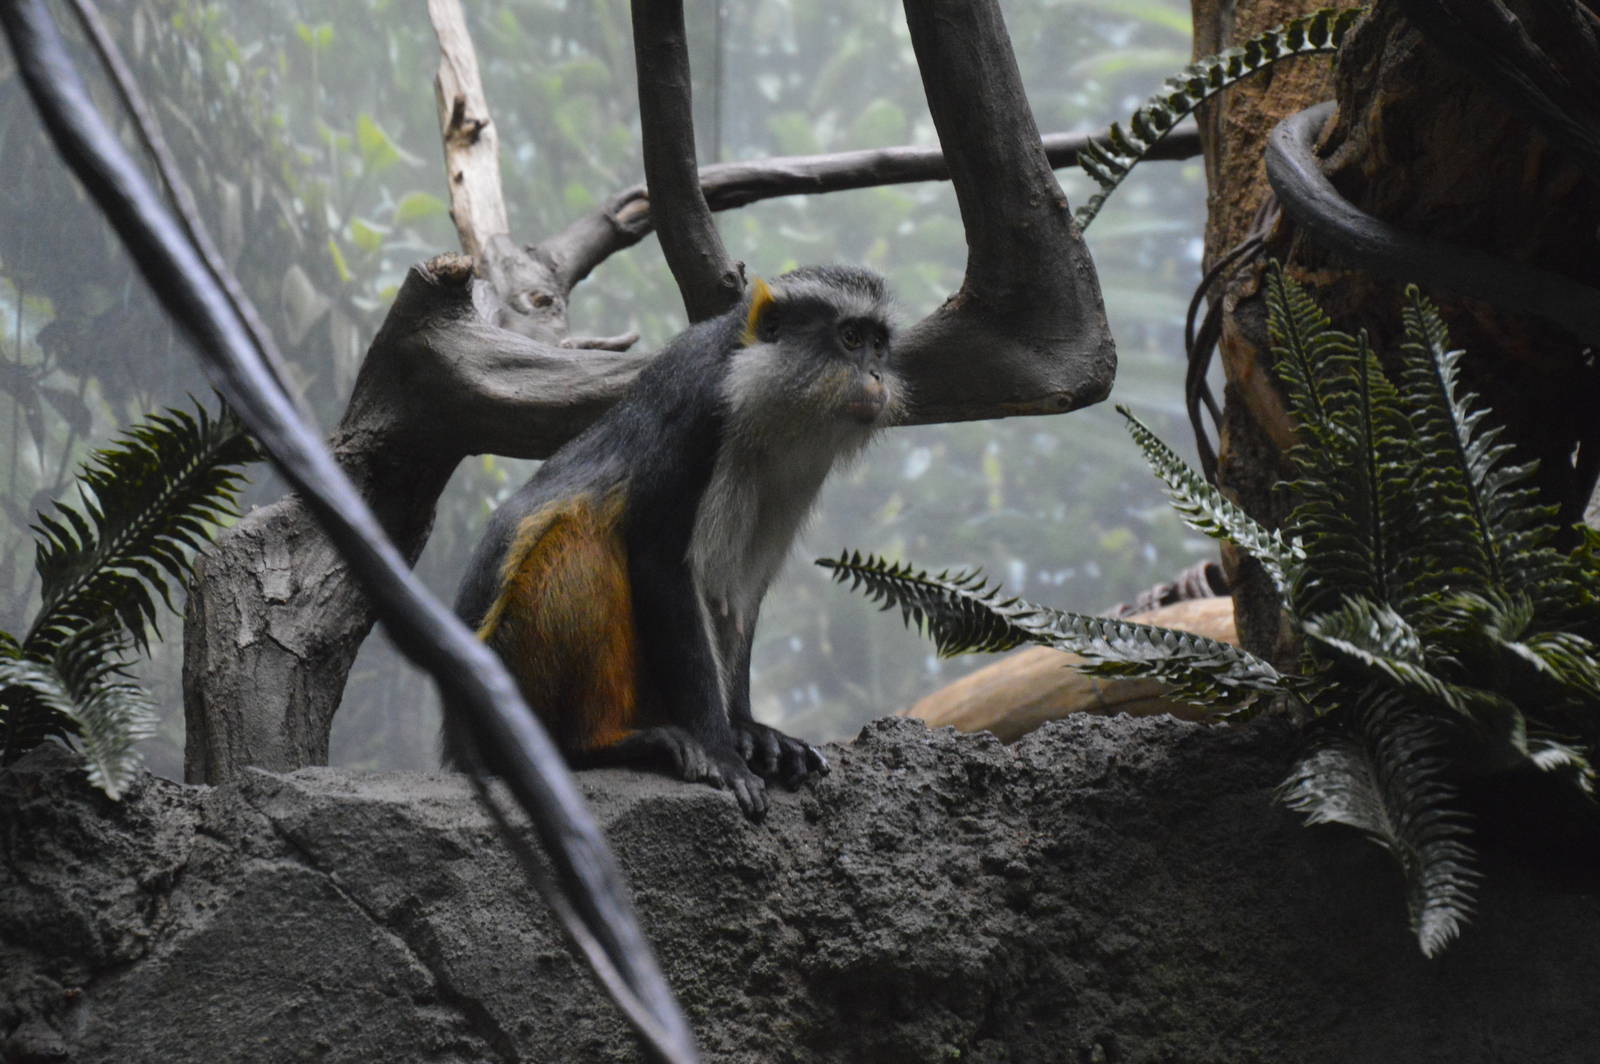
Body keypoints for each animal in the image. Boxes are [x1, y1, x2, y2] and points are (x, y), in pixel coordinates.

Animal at [445, 265, 903, 819]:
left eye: (879, 345)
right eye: (850, 338)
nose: (875, 375)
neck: (755, 384)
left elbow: (740, 595)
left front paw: (748, 729)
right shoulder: (700, 411)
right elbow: (659, 562)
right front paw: (722, 750)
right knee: (580, 543)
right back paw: (598, 746)